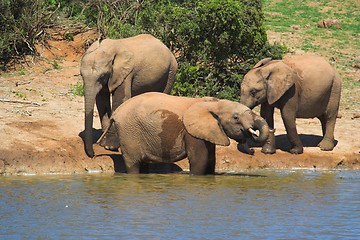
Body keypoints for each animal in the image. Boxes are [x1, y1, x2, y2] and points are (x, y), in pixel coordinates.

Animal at [97, 92, 268, 174]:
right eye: (236, 117)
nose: (253, 151)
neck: (214, 104)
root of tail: (115, 113)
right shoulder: (191, 132)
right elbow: (199, 160)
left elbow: (210, 160)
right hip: (129, 132)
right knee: (133, 164)